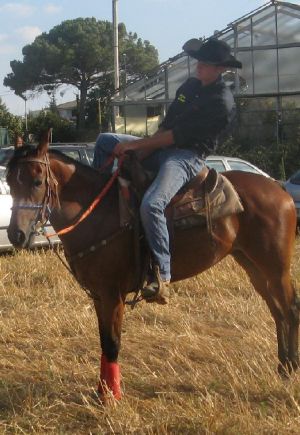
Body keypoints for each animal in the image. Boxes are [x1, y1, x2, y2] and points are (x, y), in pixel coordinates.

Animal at [5, 135, 298, 400]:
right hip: (252, 265)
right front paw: (101, 392)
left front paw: (111, 397)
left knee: (290, 309)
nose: (16, 234)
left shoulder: (112, 294)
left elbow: (112, 343)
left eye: (37, 181)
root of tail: (279, 188)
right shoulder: (98, 295)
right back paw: (282, 367)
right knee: (277, 311)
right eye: (8, 181)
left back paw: (291, 368)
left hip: (276, 267)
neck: (97, 213)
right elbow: (103, 341)